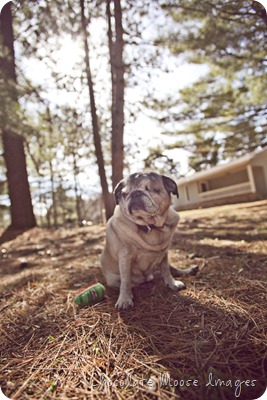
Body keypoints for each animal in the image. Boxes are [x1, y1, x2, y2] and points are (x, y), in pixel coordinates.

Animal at [101, 172, 198, 310]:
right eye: (124, 194)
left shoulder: (164, 254)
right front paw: (124, 298)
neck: (150, 226)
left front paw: (172, 284)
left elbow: (166, 271)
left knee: (170, 269)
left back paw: (188, 271)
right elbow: (125, 280)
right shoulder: (125, 257)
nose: (135, 193)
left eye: (150, 189)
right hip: (113, 279)